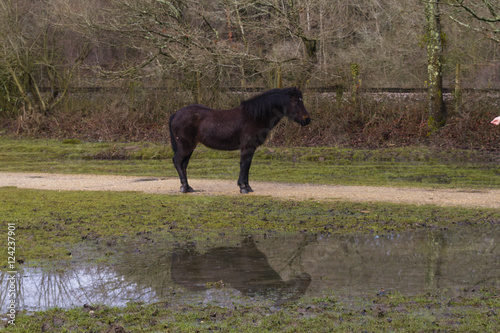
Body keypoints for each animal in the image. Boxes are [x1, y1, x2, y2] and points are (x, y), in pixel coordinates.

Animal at [169, 87, 308, 193]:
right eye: (296, 102)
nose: (307, 120)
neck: (254, 117)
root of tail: (176, 114)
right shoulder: (247, 147)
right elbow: (244, 165)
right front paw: (243, 187)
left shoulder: (251, 148)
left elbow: (247, 166)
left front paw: (247, 186)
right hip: (186, 146)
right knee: (177, 161)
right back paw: (185, 187)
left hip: (190, 146)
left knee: (183, 164)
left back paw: (188, 187)